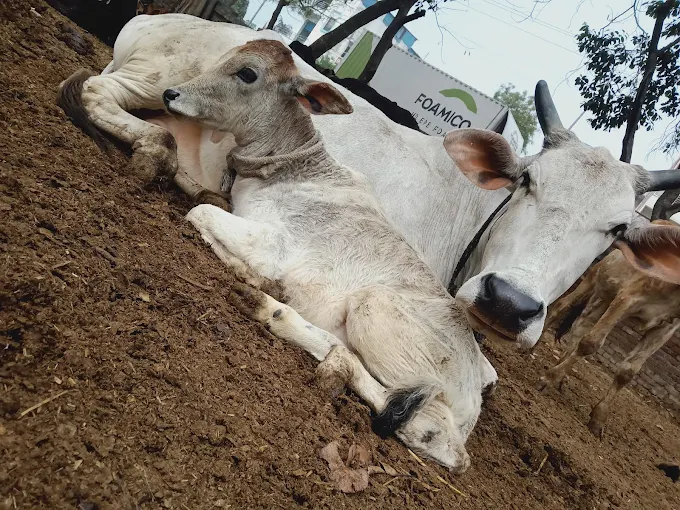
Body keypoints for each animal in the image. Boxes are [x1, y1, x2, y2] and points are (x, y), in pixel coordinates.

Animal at [56, 14, 680, 351]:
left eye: (617, 231)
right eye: (526, 181)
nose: (509, 303)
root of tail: (164, 18)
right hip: (155, 82)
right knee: (94, 91)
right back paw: (156, 153)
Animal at [169, 39, 495, 471]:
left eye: (248, 73)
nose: (171, 94)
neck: (292, 170)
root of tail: (474, 399)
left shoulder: (274, 244)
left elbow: (200, 212)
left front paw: (256, 274)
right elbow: (200, 195)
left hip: (375, 309)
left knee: (432, 431)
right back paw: (272, 308)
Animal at [536, 221, 680, 437]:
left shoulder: (665, 328)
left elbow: (628, 371)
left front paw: (598, 418)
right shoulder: (627, 299)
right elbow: (591, 343)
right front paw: (550, 378)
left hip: (604, 296)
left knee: (581, 326)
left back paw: (561, 371)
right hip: (593, 279)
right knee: (561, 307)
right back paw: (533, 349)